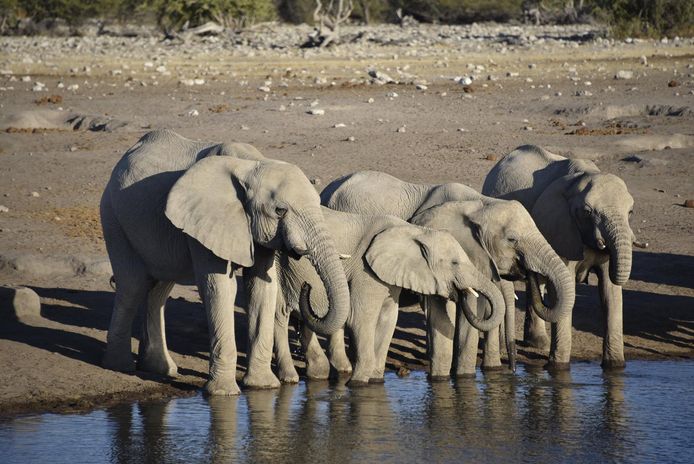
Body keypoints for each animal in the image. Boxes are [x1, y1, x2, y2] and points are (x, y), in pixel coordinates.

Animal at [100, 128, 350, 396]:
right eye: (280, 211)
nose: (308, 286)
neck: (252, 165)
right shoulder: (205, 220)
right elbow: (220, 288)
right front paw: (223, 393)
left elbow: (262, 288)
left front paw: (262, 386)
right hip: (113, 217)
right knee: (133, 286)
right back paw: (120, 366)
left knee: (159, 290)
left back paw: (161, 369)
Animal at [272, 208, 506, 386]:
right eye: (454, 263)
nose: (462, 292)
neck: (414, 231)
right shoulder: (365, 269)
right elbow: (360, 319)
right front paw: (357, 384)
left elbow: (388, 319)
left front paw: (376, 380)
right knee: (279, 316)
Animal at [322, 169, 576, 376]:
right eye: (512, 240)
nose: (513, 369)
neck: (480, 205)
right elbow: (443, 311)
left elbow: (474, 310)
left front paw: (464, 377)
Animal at [484, 145, 636, 370]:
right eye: (587, 212)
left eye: (631, 211)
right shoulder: (559, 227)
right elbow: (565, 287)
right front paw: (558, 369)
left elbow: (611, 292)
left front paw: (615, 367)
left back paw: (538, 342)